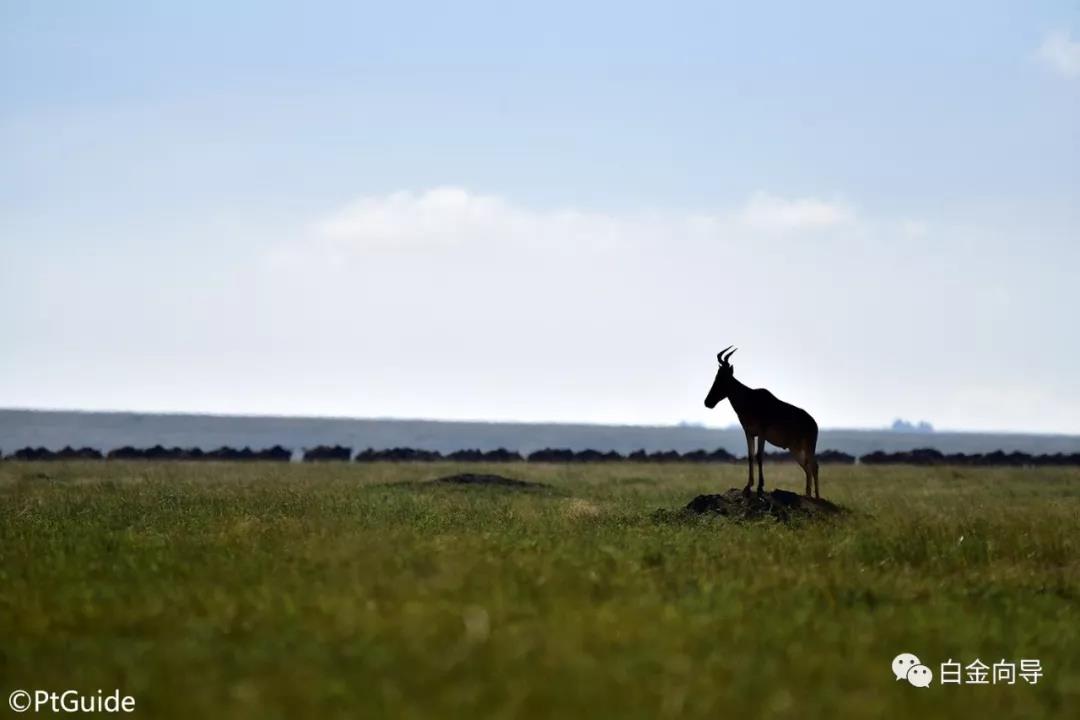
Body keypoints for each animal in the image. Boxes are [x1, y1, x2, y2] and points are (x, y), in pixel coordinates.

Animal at [699, 347, 816, 496]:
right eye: (717, 376)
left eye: (722, 378)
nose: (707, 402)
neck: (750, 398)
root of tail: (813, 422)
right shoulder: (749, 433)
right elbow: (750, 456)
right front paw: (748, 486)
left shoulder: (762, 433)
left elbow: (759, 456)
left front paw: (760, 486)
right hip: (795, 448)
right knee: (807, 467)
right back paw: (808, 494)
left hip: (809, 446)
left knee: (814, 466)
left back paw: (816, 496)